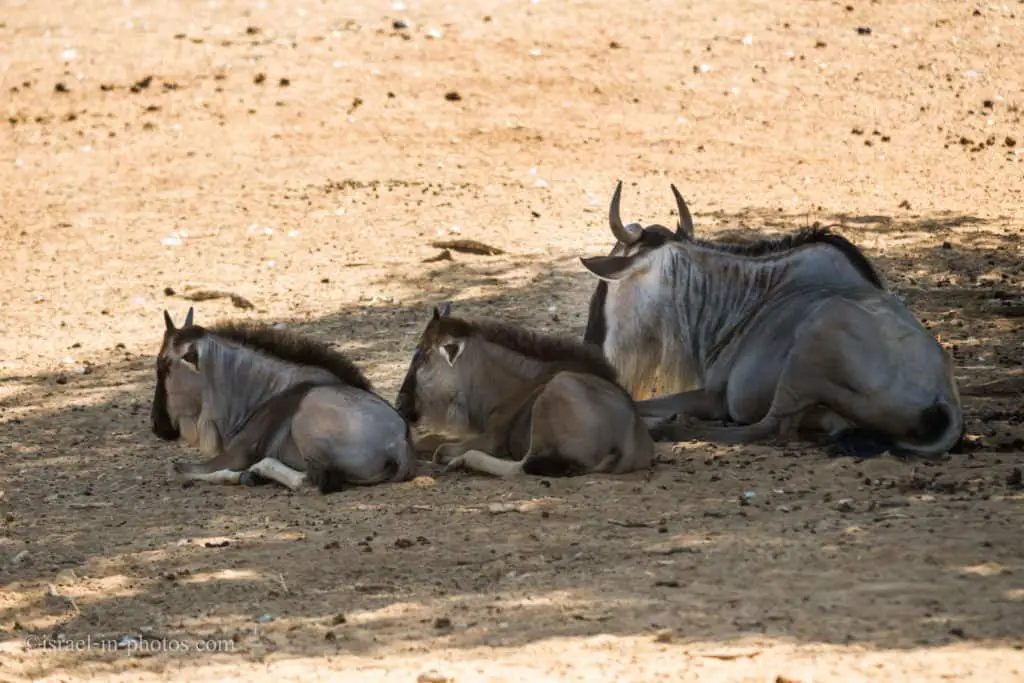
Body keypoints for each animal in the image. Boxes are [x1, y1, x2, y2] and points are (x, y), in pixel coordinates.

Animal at [149, 309, 413, 491]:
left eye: (163, 365)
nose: (157, 426)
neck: (266, 390)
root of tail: (398, 443)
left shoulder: (237, 455)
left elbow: (175, 468)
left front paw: (243, 475)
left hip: (305, 422)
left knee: (313, 480)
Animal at [395, 301, 651, 479]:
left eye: (421, 355)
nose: (400, 404)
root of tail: (627, 445)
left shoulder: (491, 439)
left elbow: (440, 448)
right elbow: (428, 439)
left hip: (556, 391)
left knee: (521, 467)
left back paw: (462, 461)